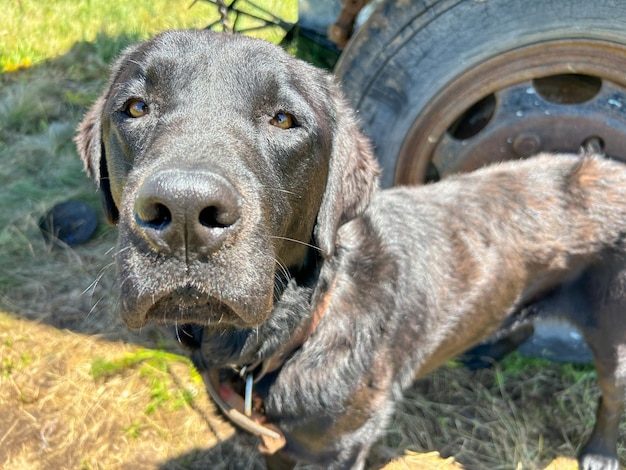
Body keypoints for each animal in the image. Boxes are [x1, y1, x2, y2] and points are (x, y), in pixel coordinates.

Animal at [77, 30, 624, 470]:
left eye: (283, 119)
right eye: (135, 108)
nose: (185, 210)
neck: (294, 333)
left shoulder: (339, 448)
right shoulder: (276, 444)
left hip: (613, 336)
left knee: (611, 397)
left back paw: (599, 453)